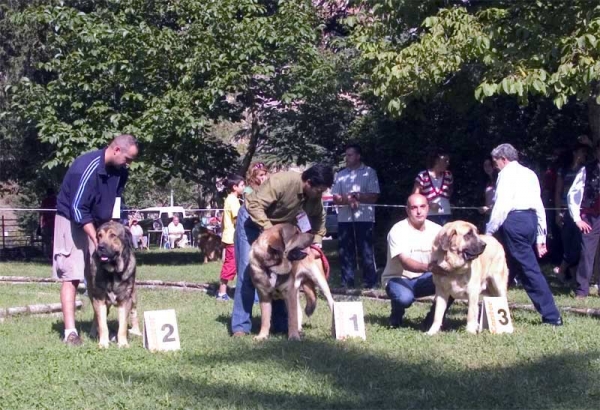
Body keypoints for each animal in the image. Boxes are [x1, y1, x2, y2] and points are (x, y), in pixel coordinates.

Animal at [85, 219, 142, 348]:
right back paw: (93, 332)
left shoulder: (126, 300)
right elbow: (102, 324)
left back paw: (137, 332)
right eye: (99, 236)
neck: (113, 272)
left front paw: (123, 344)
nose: (100, 247)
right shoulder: (99, 299)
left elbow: (123, 325)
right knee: (96, 317)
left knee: (134, 313)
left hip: (134, 296)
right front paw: (103, 343)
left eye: (112, 235)